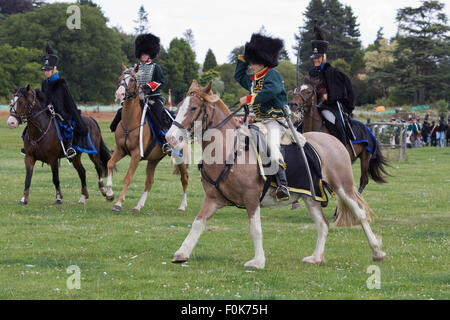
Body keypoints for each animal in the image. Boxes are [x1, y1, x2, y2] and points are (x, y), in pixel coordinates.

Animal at [104, 65, 190, 212]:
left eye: (133, 79)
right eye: (120, 78)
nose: (119, 94)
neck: (130, 121)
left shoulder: (136, 155)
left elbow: (128, 177)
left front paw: (119, 203)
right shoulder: (121, 150)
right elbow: (110, 164)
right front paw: (109, 194)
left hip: (180, 158)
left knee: (184, 179)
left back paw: (182, 206)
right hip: (154, 160)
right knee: (149, 182)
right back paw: (138, 206)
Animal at [165, 79, 386, 268]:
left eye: (193, 108)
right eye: (179, 105)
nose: (170, 138)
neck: (230, 150)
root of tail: (334, 140)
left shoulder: (251, 198)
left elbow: (255, 229)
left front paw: (258, 261)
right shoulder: (212, 199)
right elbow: (197, 224)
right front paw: (182, 253)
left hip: (343, 187)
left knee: (360, 214)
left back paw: (377, 251)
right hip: (311, 196)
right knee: (323, 224)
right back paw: (315, 258)